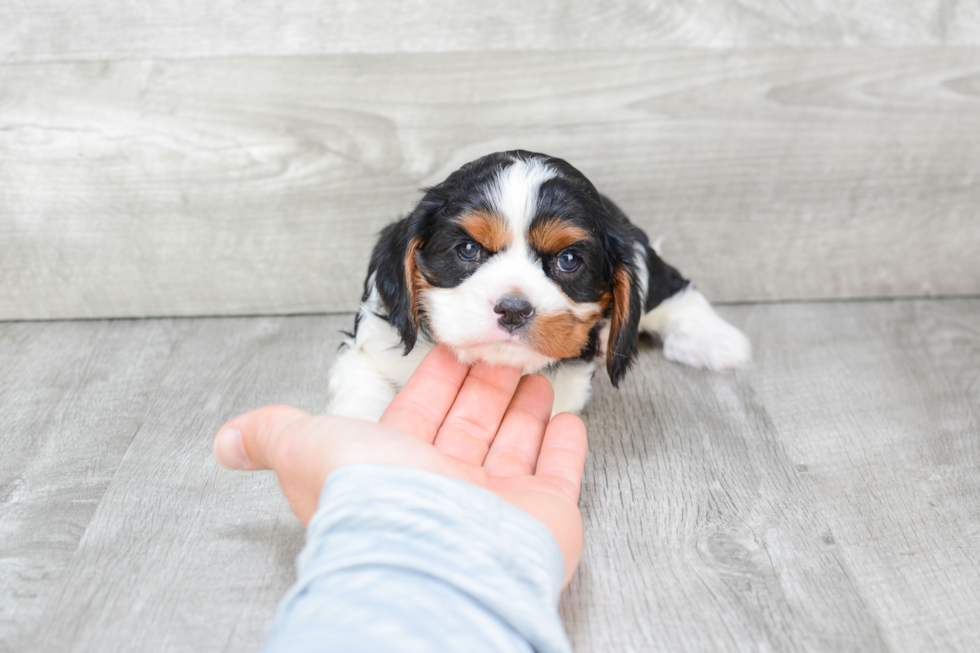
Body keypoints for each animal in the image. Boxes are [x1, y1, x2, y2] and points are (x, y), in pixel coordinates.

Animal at [330, 151, 752, 420]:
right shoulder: (367, 349)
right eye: (467, 250)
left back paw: (717, 341)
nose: (514, 310)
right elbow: (363, 396)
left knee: (674, 288)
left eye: (568, 261)